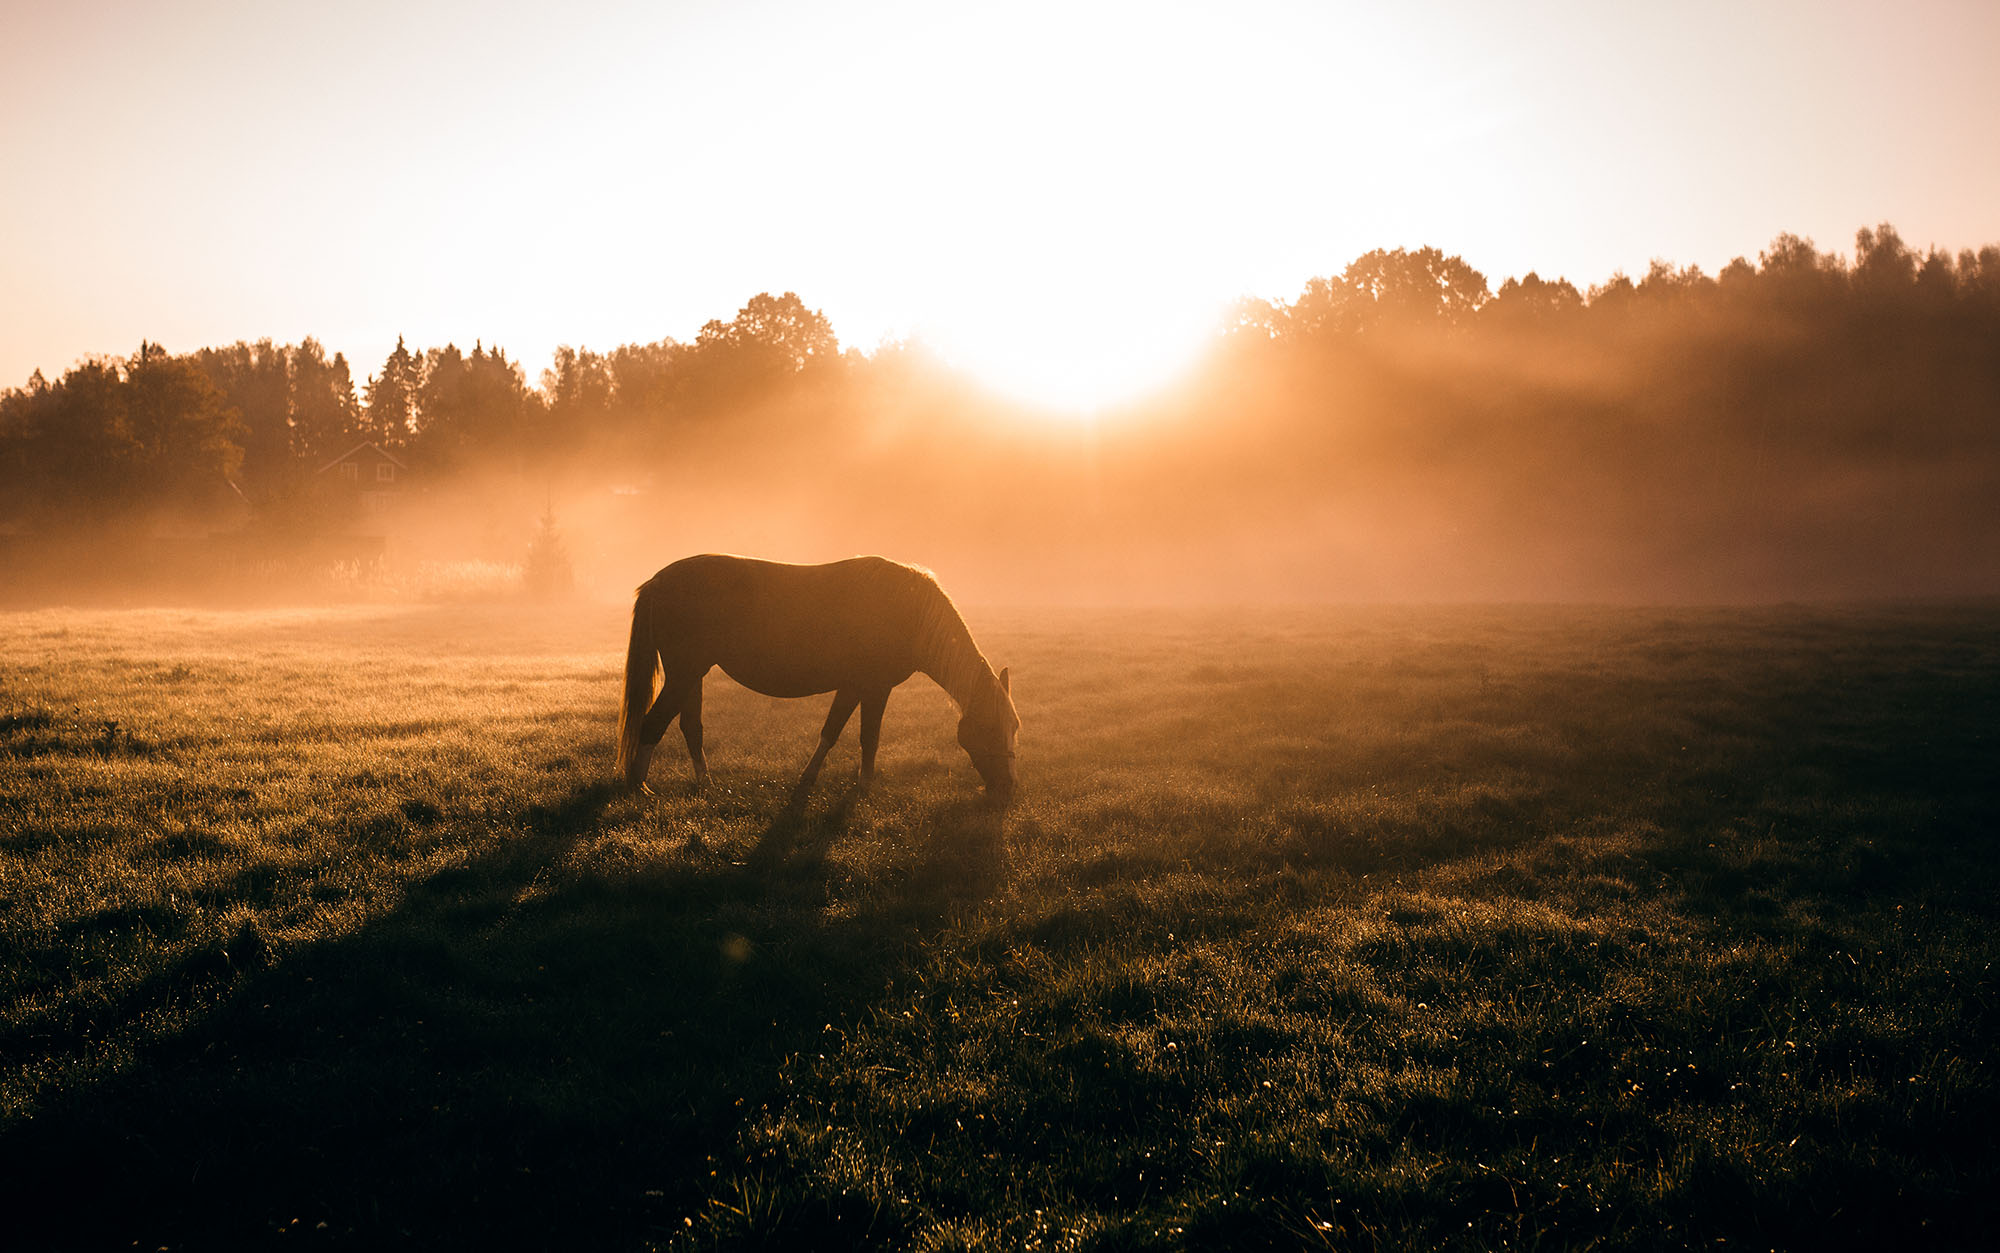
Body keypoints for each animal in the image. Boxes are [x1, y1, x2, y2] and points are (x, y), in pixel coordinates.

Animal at [612, 552, 1024, 800]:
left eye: (1014, 727)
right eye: (989, 727)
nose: (1008, 789)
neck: (909, 611)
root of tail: (657, 582)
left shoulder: (855, 686)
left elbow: (837, 731)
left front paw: (818, 779)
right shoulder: (873, 687)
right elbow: (862, 736)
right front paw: (861, 787)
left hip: (692, 675)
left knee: (690, 727)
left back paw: (705, 783)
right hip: (684, 674)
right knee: (652, 724)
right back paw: (639, 788)